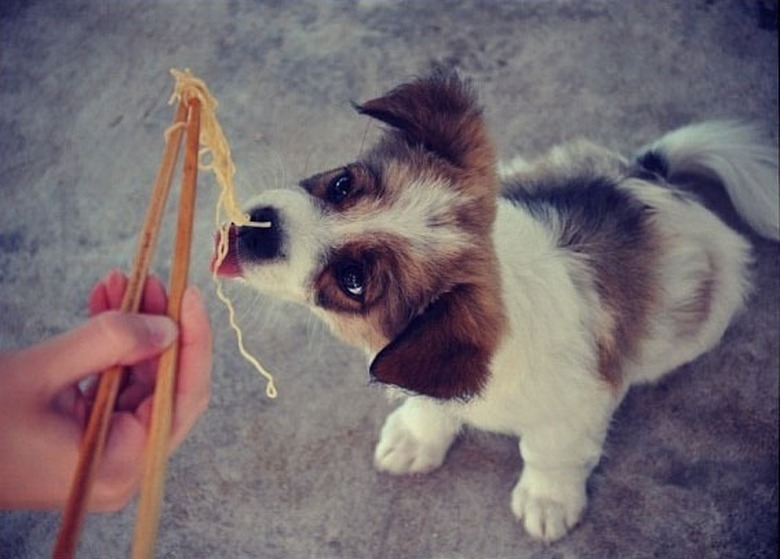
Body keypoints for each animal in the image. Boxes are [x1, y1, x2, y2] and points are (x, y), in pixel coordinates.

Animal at [213, 69, 780, 544]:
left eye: (353, 281)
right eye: (342, 183)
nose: (252, 228)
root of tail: (650, 176)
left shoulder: (579, 405)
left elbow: (548, 452)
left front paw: (548, 500)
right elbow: (431, 402)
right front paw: (417, 436)